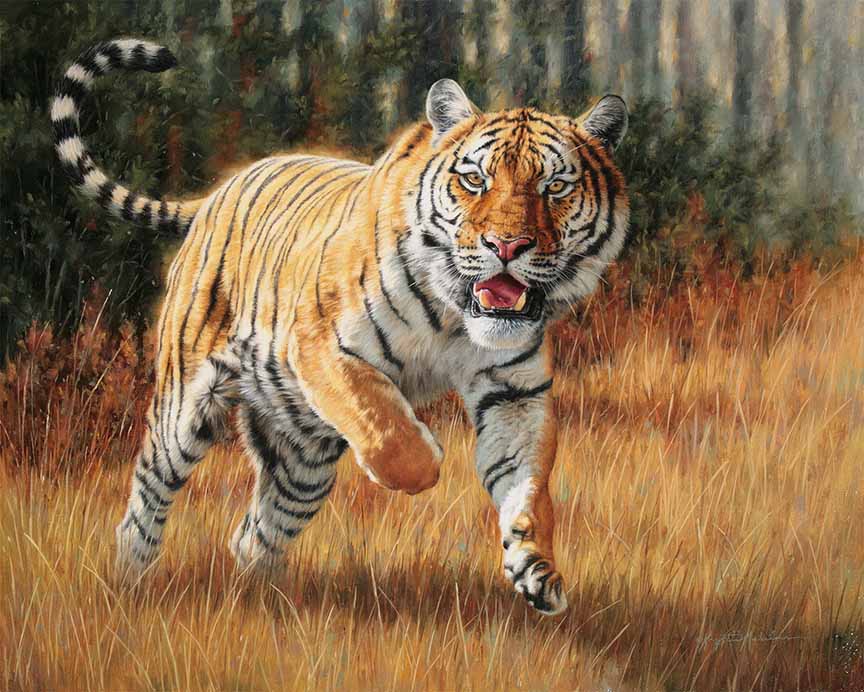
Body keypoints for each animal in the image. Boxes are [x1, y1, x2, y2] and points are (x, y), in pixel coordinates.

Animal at [52, 38, 629, 616]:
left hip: (301, 454)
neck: (455, 317)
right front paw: (428, 461)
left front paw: (537, 571)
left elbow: (528, 485)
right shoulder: (321, 348)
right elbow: (387, 428)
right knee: (144, 506)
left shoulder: (514, 393)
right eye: (474, 180)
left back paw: (269, 604)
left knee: (255, 536)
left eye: (555, 186)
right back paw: (129, 584)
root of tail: (220, 191)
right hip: (185, 408)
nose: (507, 246)